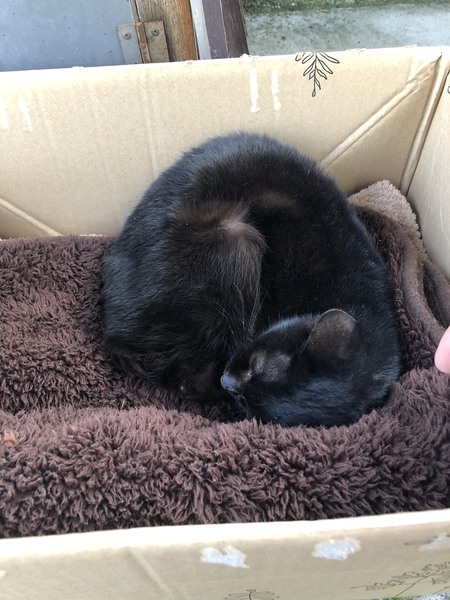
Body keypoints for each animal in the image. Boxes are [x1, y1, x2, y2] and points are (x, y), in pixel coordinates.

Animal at [102, 131, 400, 426]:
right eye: (256, 362)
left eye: (250, 407)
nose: (227, 382)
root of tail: (112, 332)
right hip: (235, 237)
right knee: (188, 380)